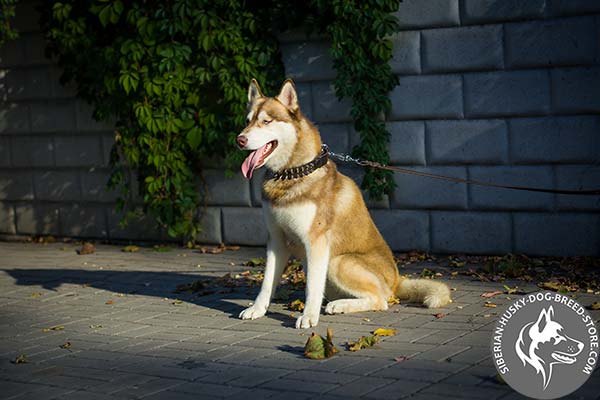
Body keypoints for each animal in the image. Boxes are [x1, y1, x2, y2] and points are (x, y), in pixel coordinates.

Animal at [234, 78, 450, 328]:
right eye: (247, 121)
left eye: (266, 121)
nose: (240, 140)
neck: (292, 174)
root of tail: (397, 279)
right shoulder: (276, 240)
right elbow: (267, 282)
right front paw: (257, 309)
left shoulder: (316, 243)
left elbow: (312, 288)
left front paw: (308, 316)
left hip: (338, 262)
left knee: (381, 300)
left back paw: (340, 305)